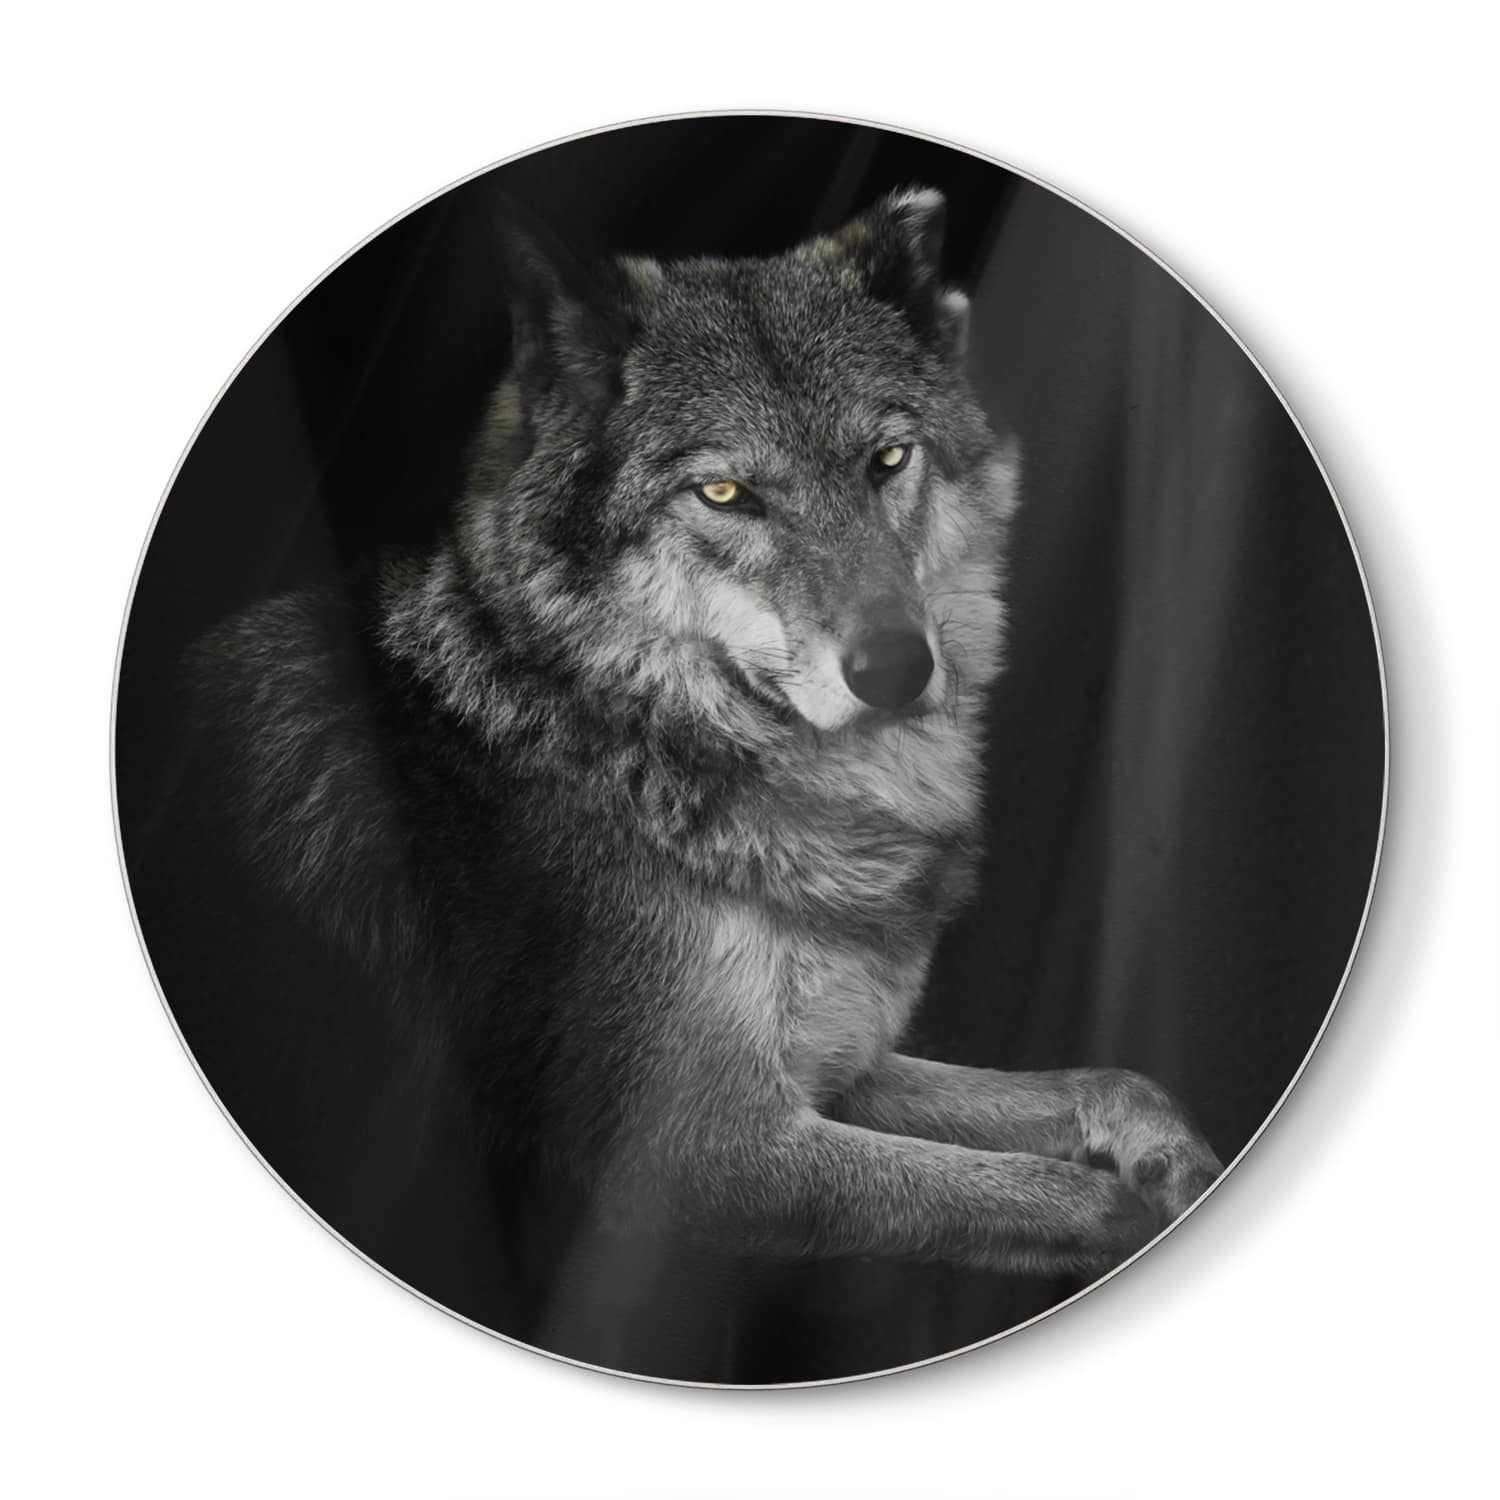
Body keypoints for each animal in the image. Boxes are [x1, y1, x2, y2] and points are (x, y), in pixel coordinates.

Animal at [189, 186, 1221, 1331]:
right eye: (725, 494)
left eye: (886, 461)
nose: (898, 669)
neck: (613, 732)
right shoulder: (695, 1151)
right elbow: (1052, 1192)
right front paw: (1136, 1219)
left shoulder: (833, 1070)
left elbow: (1106, 1085)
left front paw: (1179, 1162)